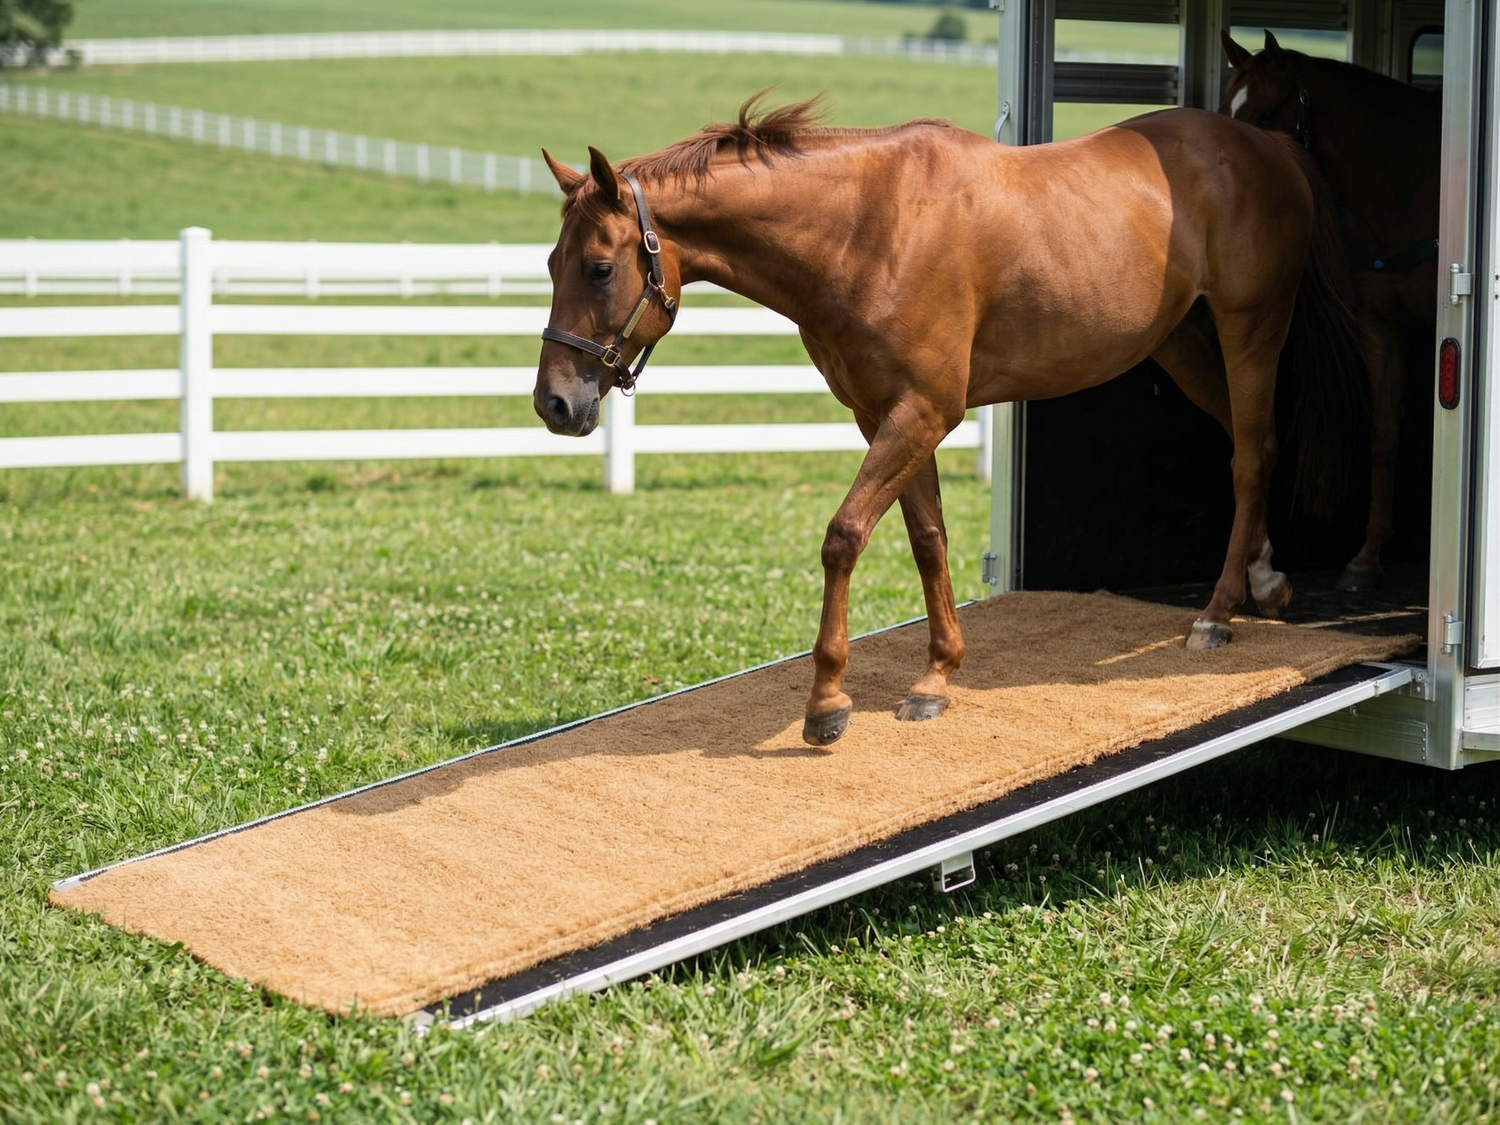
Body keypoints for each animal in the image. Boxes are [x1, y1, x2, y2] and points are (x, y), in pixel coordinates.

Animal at [533, 96, 1362, 746]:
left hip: (1250, 329)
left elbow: (844, 536)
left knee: (1252, 455)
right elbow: (926, 538)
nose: (554, 403)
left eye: (600, 267)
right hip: (1184, 343)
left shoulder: (924, 411)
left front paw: (827, 700)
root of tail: (1268, 145)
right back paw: (1265, 578)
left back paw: (1218, 612)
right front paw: (936, 675)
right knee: (1249, 442)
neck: (866, 228)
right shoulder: (888, 418)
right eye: (548, 263)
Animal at [1221, 31, 1441, 591]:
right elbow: (1385, 437)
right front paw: (1365, 557)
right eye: (1225, 104)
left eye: (1268, 112)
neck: (1411, 185)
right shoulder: (1380, 327)